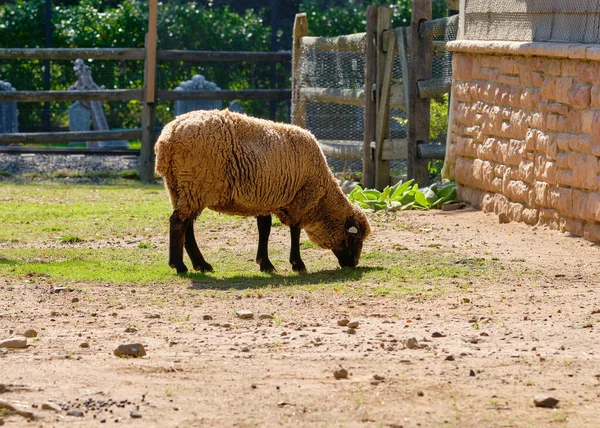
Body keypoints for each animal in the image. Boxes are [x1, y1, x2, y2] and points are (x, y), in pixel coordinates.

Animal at [155, 108, 370, 272]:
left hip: (179, 187)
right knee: (178, 222)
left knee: (187, 225)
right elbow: (295, 230)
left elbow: (264, 228)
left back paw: (201, 265)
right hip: (196, 184)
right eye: (354, 238)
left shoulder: (265, 197)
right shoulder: (299, 199)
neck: (322, 200)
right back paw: (179, 265)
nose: (353, 264)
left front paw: (265, 263)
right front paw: (297, 264)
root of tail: (168, 138)